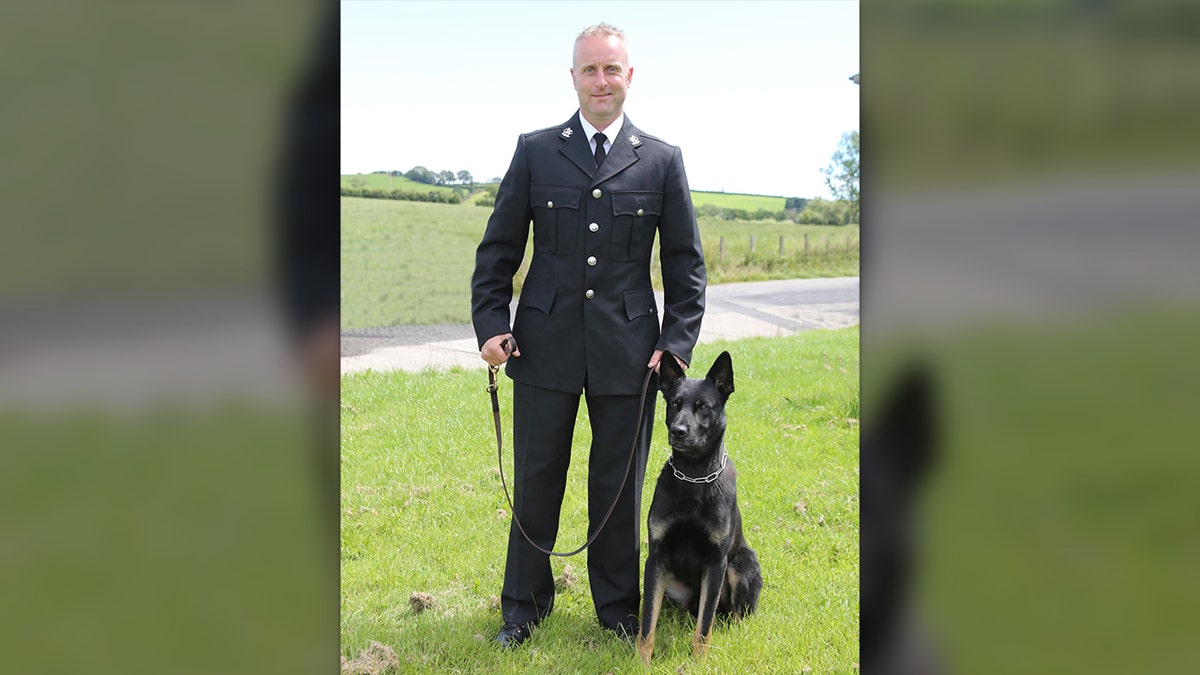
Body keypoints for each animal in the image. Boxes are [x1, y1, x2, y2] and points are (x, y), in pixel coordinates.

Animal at [638, 353, 758, 662]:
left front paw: (699, 660)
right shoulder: (656, 559)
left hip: (740, 564)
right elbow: (647, 621)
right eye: (674, 403)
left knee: (732, 614)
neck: (693, 476)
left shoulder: (716, 563)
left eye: (703, 406)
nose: (677, 431)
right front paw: (641, 661)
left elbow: (705, 625)